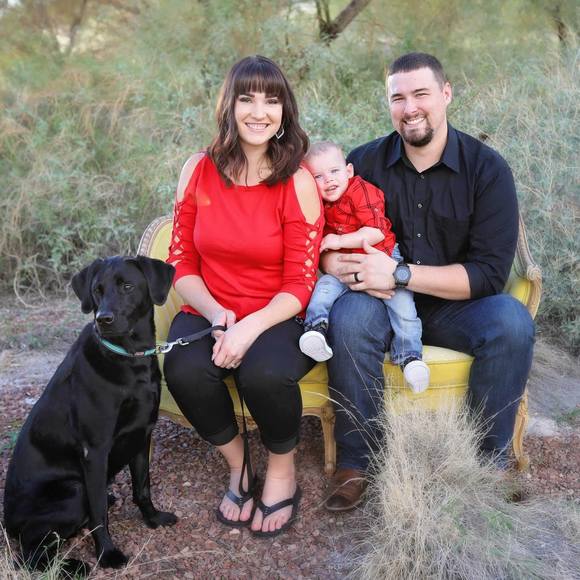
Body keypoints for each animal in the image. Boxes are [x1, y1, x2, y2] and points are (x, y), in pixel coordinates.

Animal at [3, 256, 178, 576]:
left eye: (127, 286)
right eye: (97, 290)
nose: (103, 319)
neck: (129, 357)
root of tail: (7, 524)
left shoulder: (141, 434)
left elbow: (142, 486)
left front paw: (153, 518)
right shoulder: (94, 451)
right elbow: (98, 513)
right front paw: (107, 555)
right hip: (72, 491)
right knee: (31, 555)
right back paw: (75, 567)